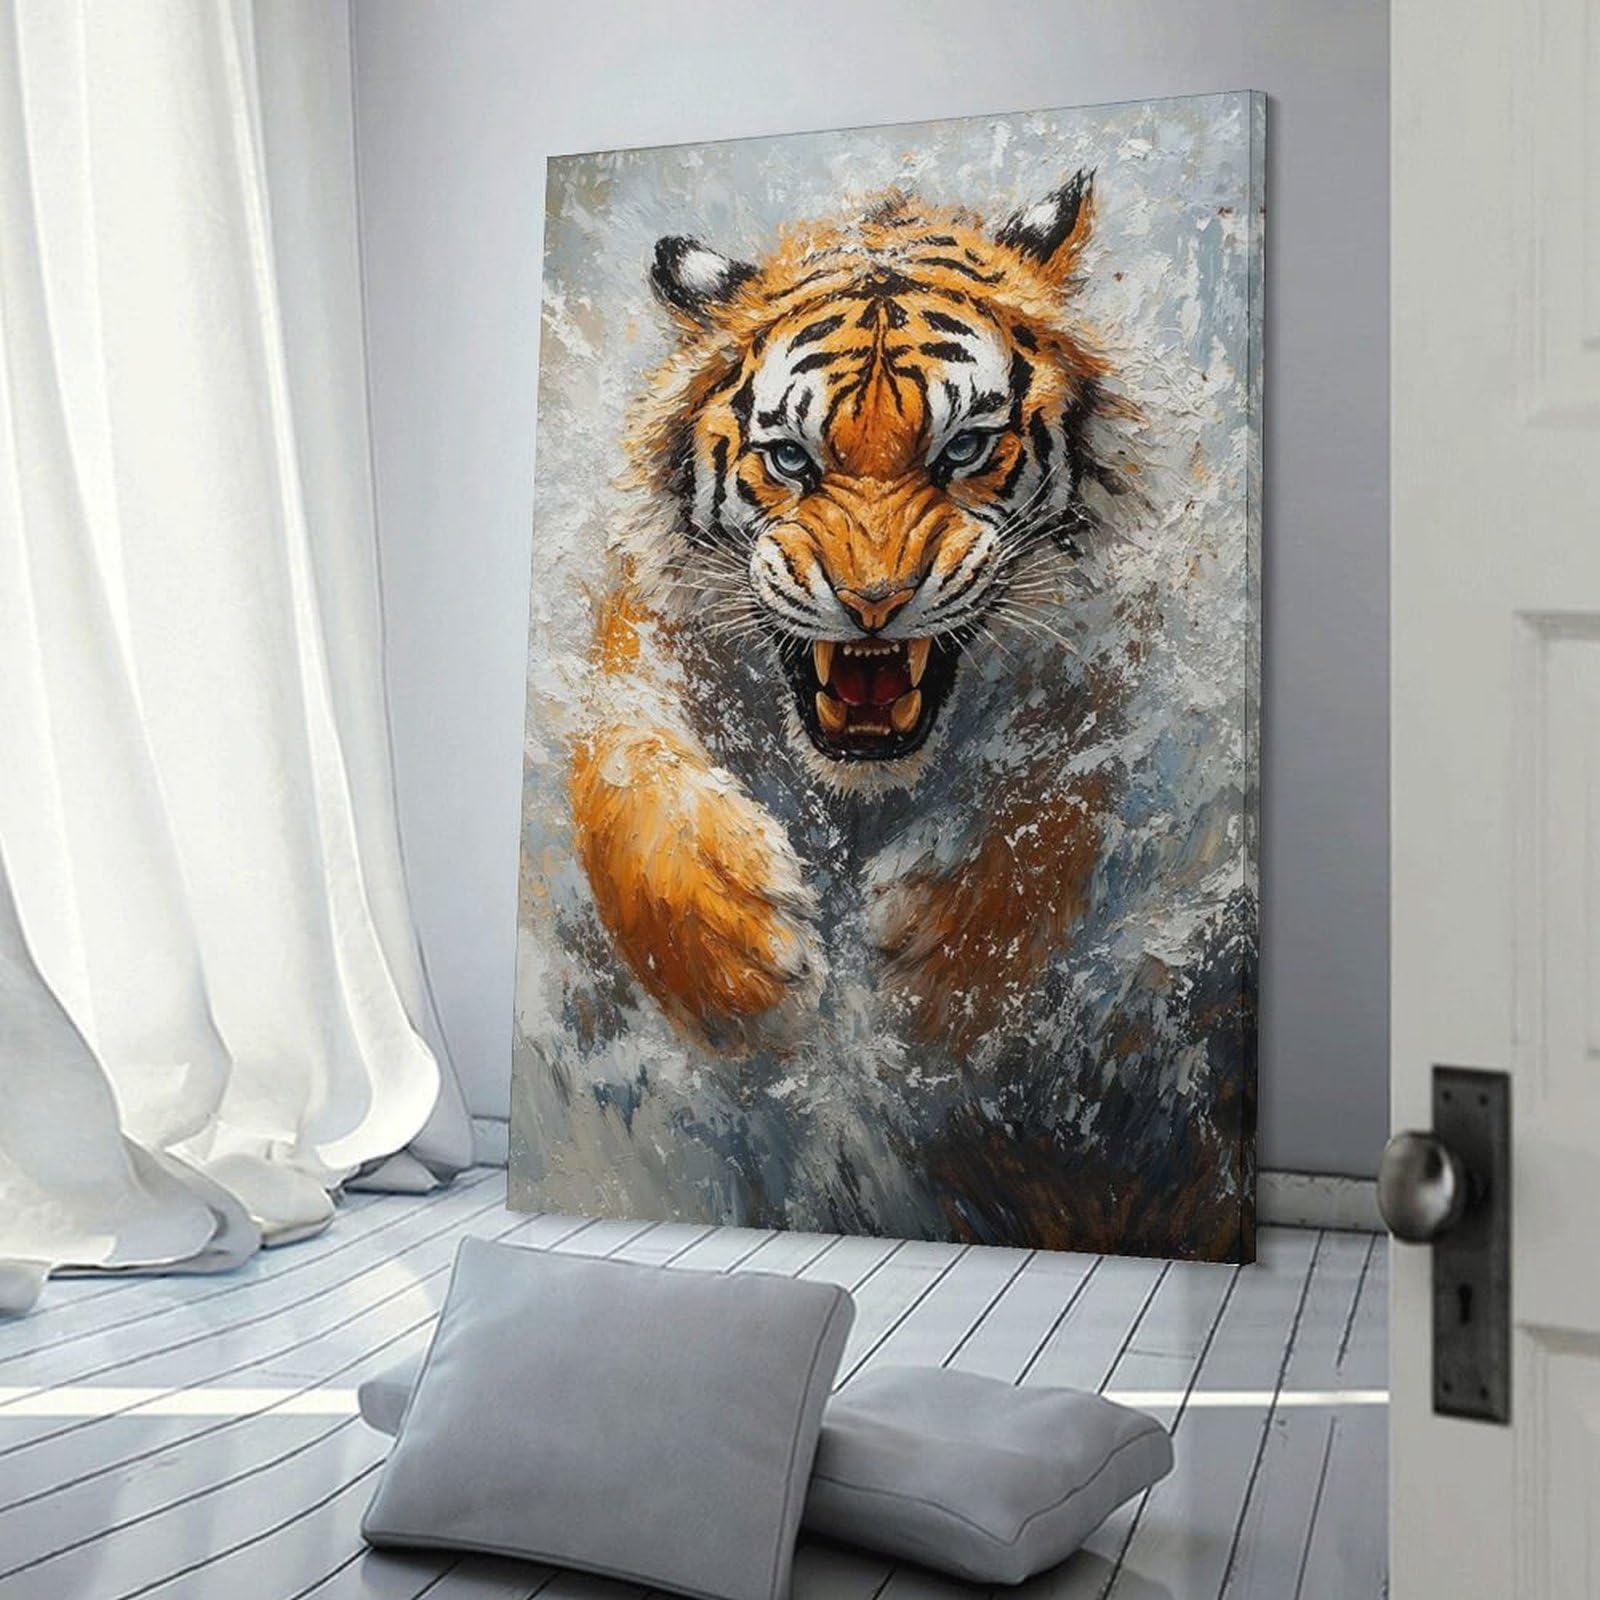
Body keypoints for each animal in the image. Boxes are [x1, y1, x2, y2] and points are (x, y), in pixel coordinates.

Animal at [568, 173, 1143, 1056]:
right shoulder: (641, 642)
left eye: (964, 450)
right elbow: (624, 767)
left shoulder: (1100, 652)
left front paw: (949, 962)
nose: (875, 600)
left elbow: (1064, 787)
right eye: (789, 458)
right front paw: (738, 965)